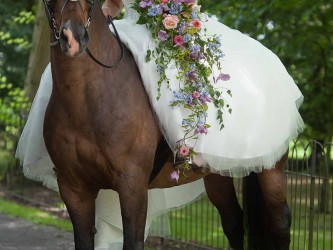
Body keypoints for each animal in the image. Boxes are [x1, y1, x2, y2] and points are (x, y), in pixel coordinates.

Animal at [41, 0, 290, 249]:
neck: (87, 102)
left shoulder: (132, 186)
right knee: (233, 221)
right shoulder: (73, 189)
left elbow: (133, 241)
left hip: (272, 169)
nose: (73, 39)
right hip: (218, 173)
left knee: (280, 223)